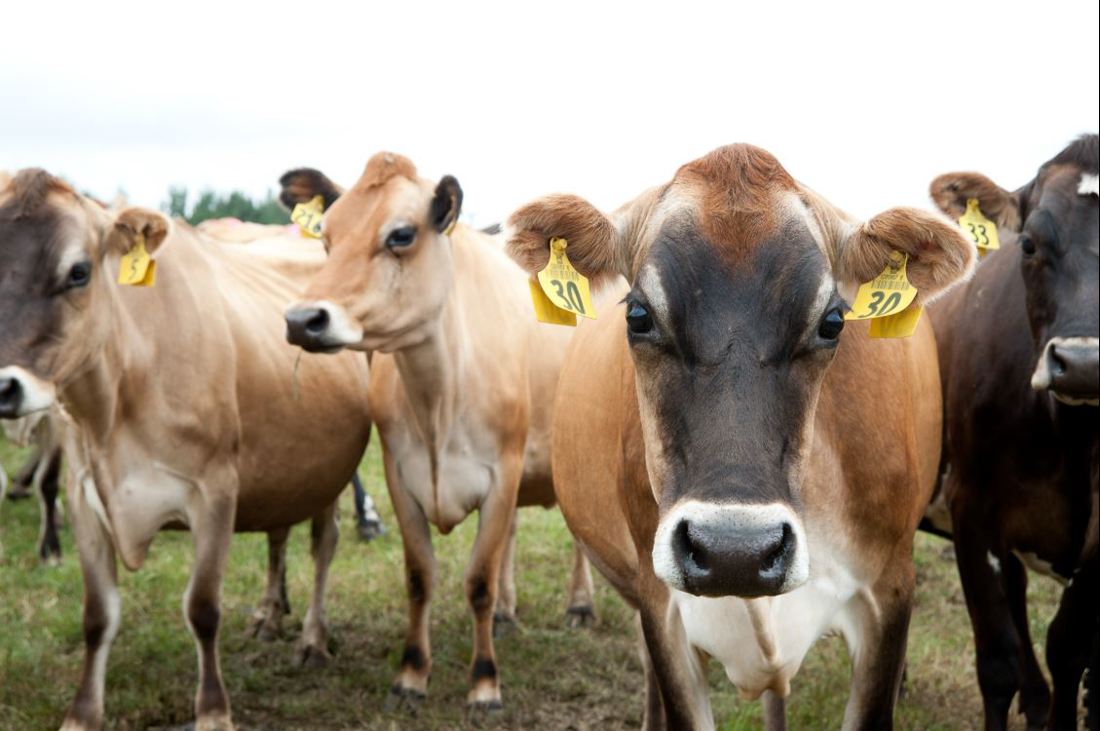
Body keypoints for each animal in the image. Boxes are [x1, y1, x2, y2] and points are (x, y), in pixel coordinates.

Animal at [0, 169, 374, 731]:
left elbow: (202, 609)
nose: (3, 387)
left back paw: (312, 638)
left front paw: (214, 711)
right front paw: (82, 714)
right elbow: (97, 616)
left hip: (330, 469)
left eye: (79, 272)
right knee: (279, 535)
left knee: (323, 543)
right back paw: (269, 614)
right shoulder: (84, 496)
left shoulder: (215, 491)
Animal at [282, 153, 596, 713]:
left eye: (401, 234)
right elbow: (420, 577)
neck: (438, 398)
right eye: (327, 237)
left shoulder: (502, 473)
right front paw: (411, 673)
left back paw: (579, 606)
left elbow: (477, 581)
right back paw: (507, 614)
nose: (302, 320)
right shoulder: (400, 475)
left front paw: (485, 681)